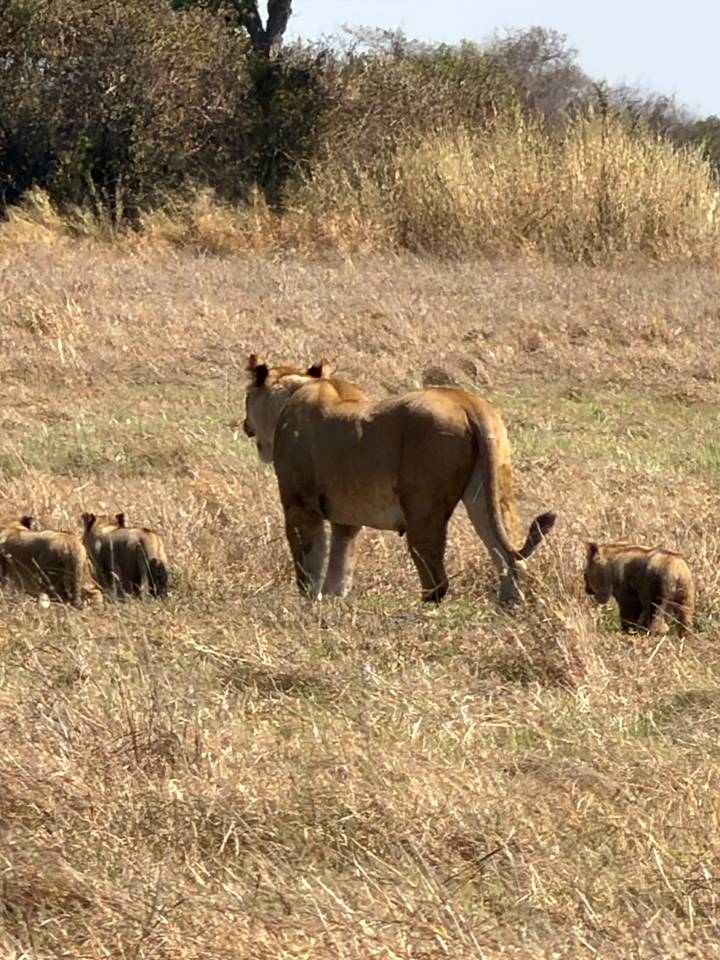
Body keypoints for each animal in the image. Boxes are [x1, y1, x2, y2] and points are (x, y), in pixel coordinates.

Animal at [244, 355, 556, 604]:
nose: (245, 424)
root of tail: (468, 403)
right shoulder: (346, 518)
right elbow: (341, 565)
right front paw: (333, 601)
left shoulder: (300, 505)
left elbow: (309, 563)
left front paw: (309, 602)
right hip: (491, 491)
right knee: (507, 554)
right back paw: (508, 604)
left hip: (423, 505)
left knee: (437, 580)